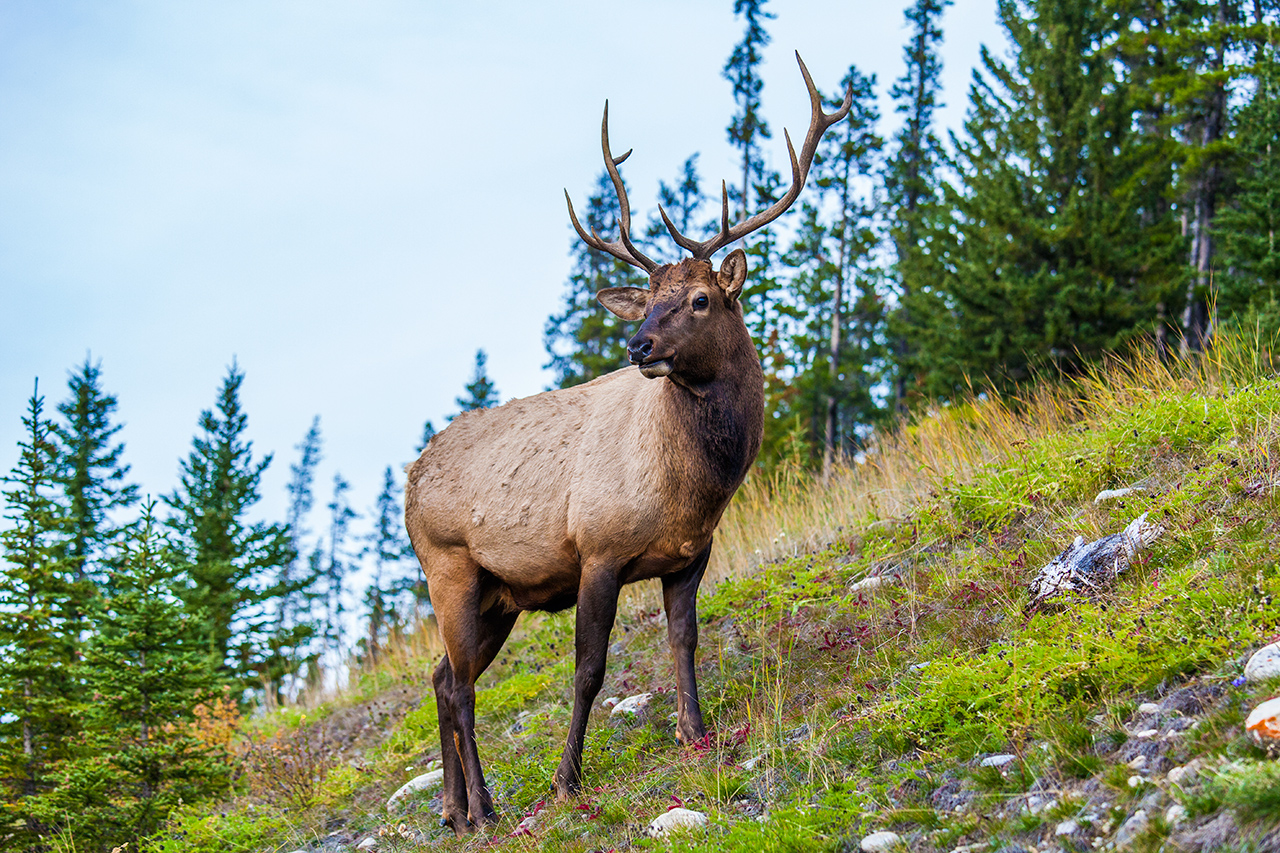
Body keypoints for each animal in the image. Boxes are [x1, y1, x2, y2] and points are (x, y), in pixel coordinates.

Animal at [407, 53, 849, 829]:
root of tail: (406, 482)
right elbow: (590, 669)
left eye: (699, 299)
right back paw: (485, 808)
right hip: (449, 567)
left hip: (497, 595)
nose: (638, 344)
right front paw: (566, 779)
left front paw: (695, 733)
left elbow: (685, 639)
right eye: (647, 303)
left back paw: (455, 811)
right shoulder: (598, 550)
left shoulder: (690, 556)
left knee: (439, 676)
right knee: (460, 687)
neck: (692, 489)